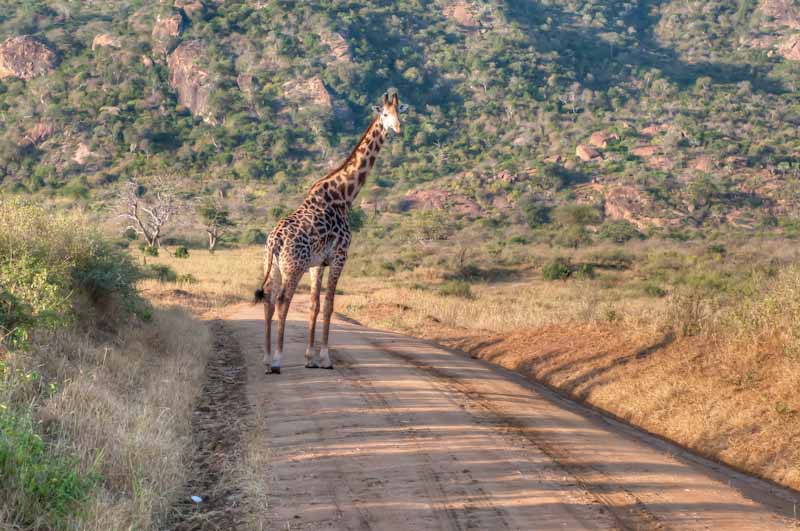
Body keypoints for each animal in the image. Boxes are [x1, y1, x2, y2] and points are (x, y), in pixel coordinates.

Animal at [255, 92, 410, 374]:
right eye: (384, 114)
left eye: (399, 112)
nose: (397, 128)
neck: (344, 196)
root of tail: (275, 241)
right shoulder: (339, 256)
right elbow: (328, 306)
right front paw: (325, 359)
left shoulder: (318, 263)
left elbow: (314, 305)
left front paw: (309, 358)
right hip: (293, 267)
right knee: (282, 301)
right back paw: (277, 360)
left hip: (272, 267)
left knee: (268, 301)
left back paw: (266, 358)